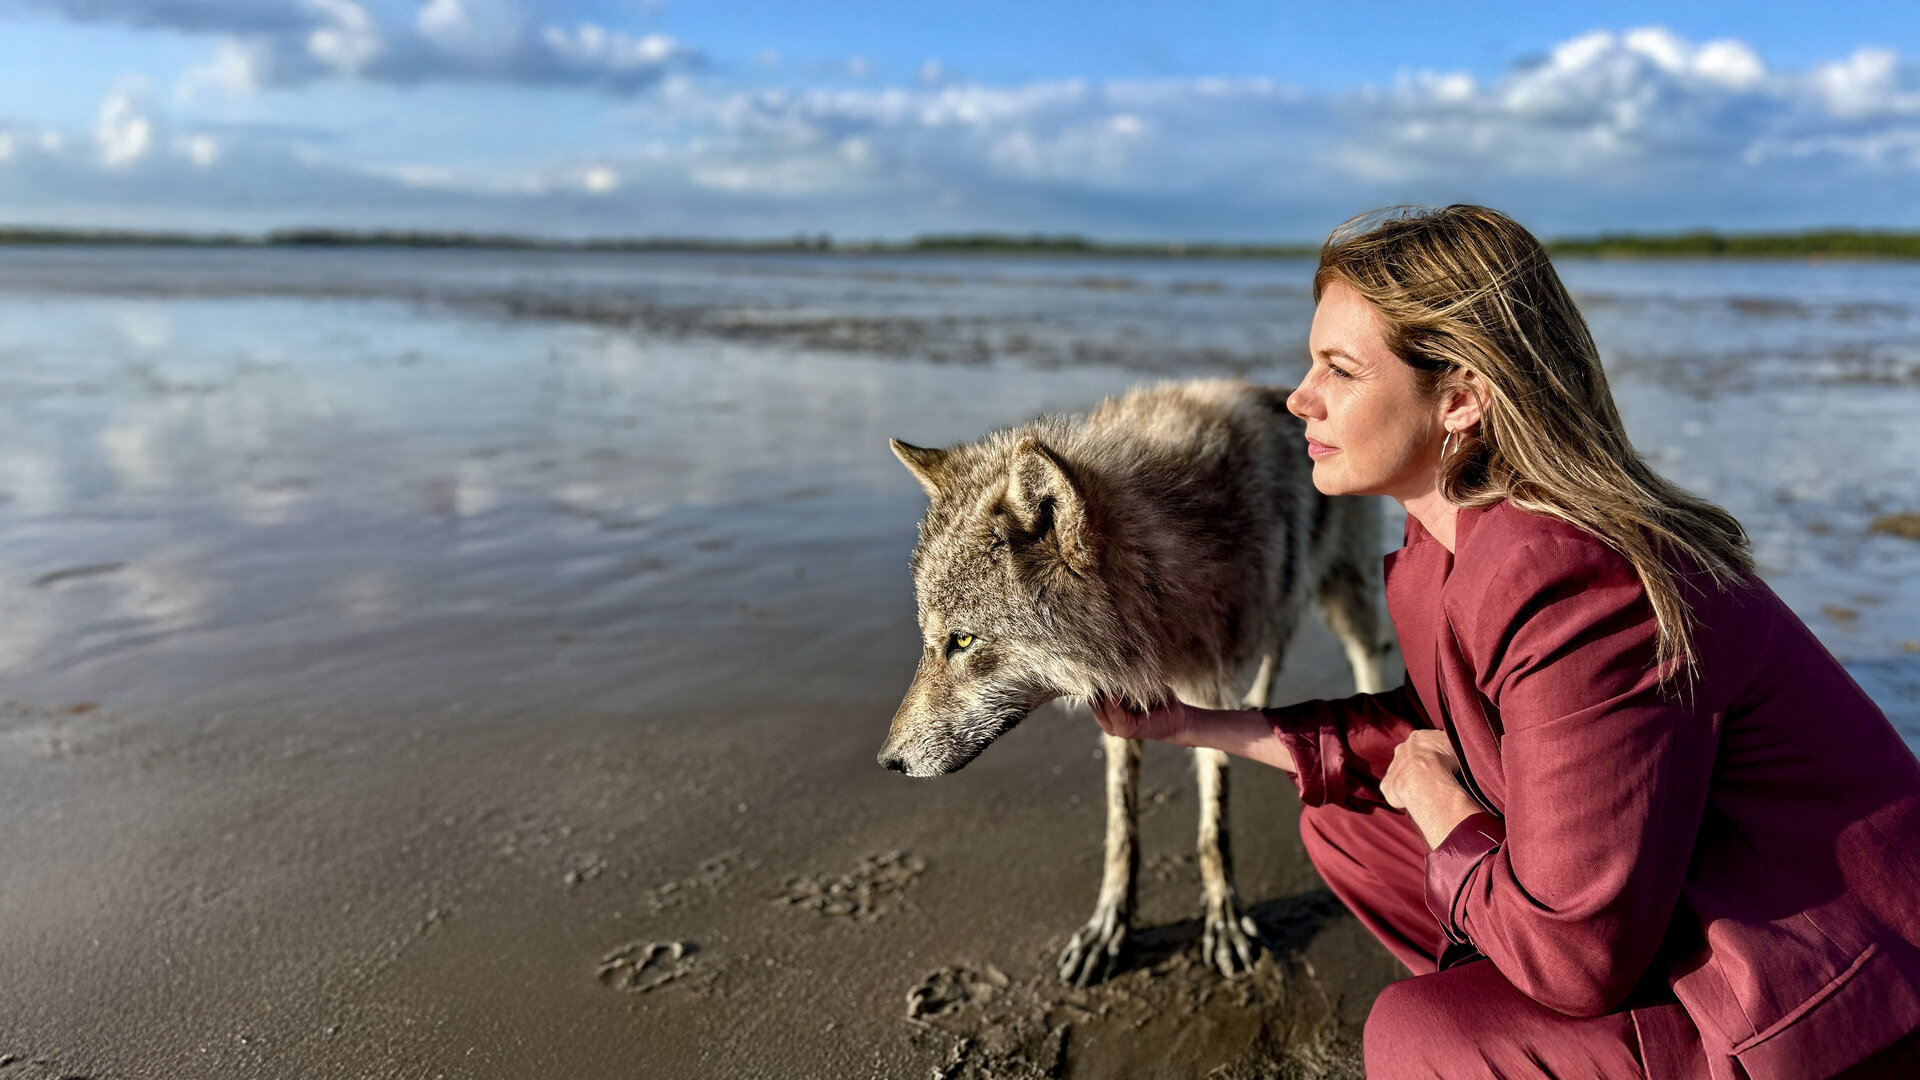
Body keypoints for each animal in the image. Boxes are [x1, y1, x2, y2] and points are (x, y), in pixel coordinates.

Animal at [876, 379, 1393, 986]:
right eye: (931, 639)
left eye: (961, 640)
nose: (888, 761)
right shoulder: (1127, 709)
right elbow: (1122, 832)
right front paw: (1109, 928)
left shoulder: (1208, 689)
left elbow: (1212, 828)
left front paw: (1224, 921)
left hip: (1347, 592)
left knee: (1365, 654)